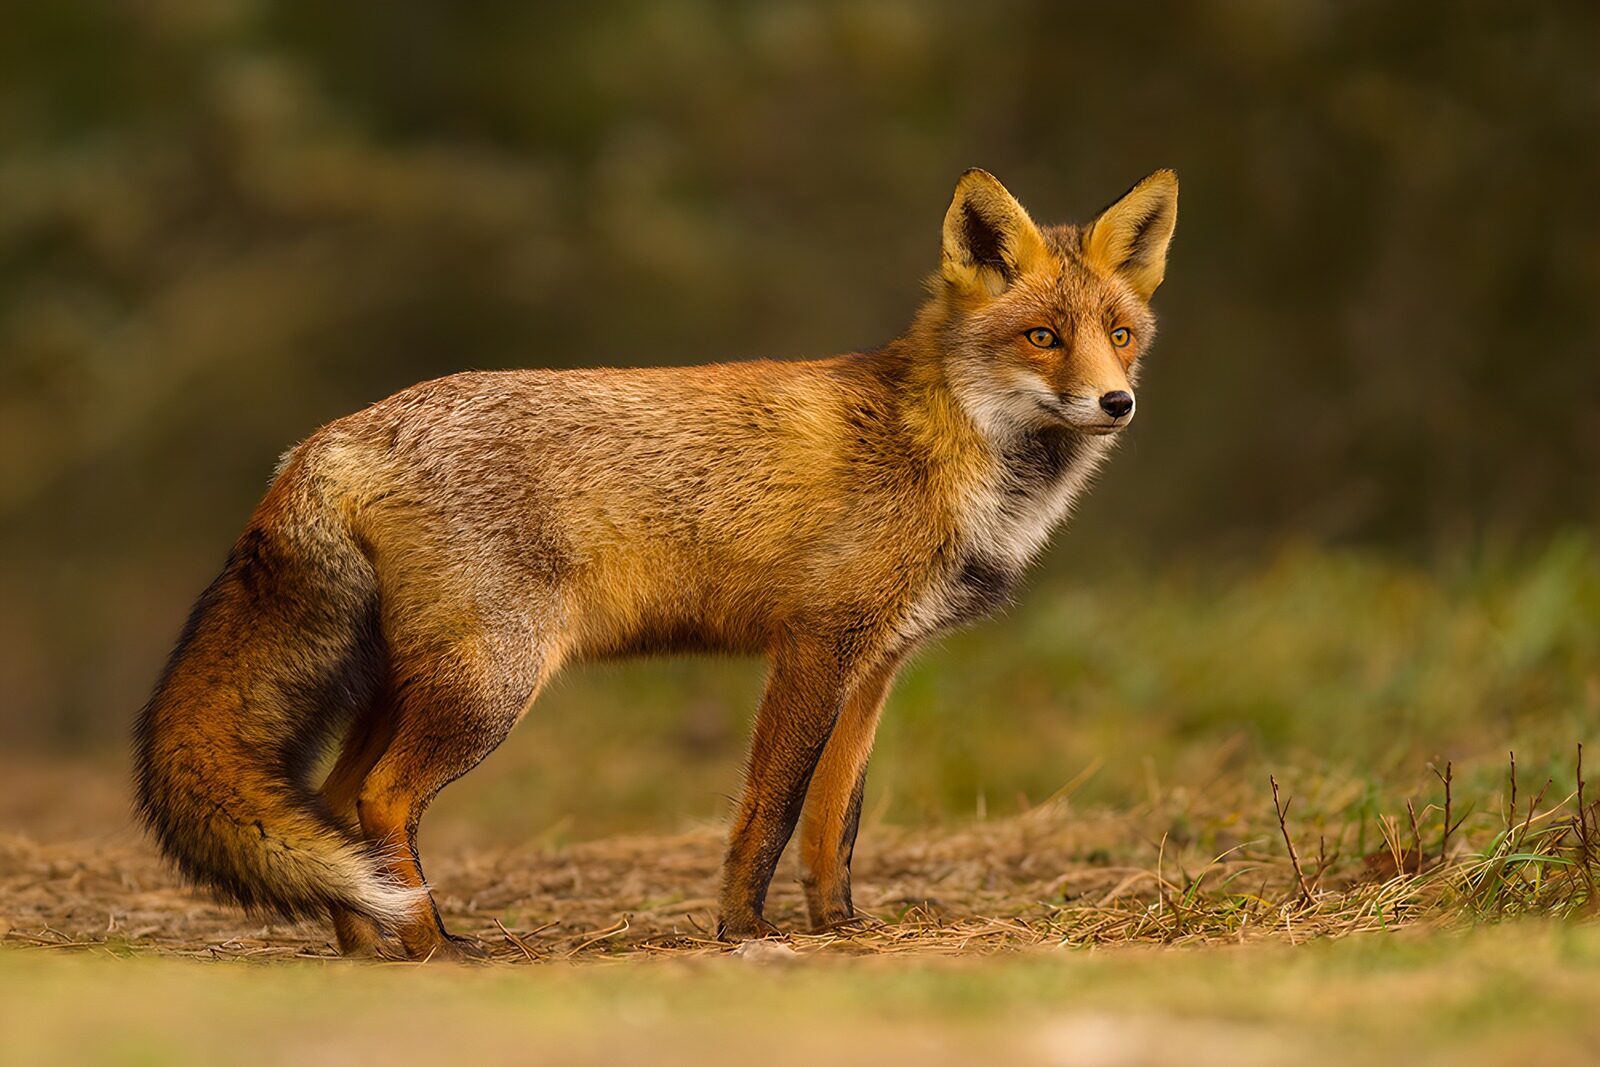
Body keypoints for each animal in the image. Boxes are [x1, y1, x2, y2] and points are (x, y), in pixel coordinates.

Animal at [134, 168, 1178, 960]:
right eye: (1043, 337)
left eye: (1120, 335)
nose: (1118, 402)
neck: (944, 450)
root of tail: (337, 433)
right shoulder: (813, 647)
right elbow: (769, 811)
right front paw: (743, 932)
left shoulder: (878, 661)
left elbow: (833, 823)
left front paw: (841, 930)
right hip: (490, 685)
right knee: (379, 797)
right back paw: (434, 948)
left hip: (416, 682)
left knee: (333, 800)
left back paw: (362, 947)